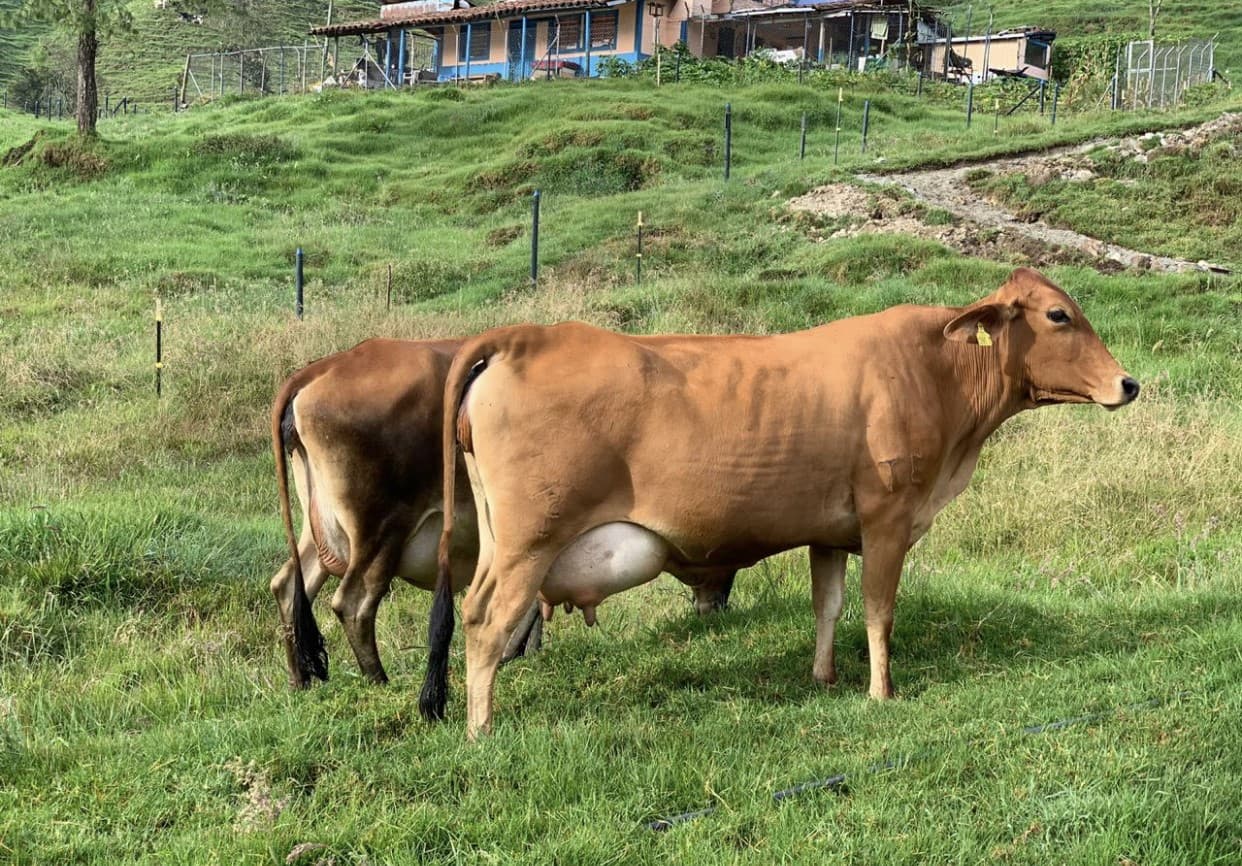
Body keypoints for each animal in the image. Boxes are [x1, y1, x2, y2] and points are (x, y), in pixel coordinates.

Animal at [270, 339, 735, 691]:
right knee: (353, 602)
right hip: (379, 529)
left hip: (323, 532)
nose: (719, 607)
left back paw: (300, 680)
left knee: (290, 584)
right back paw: (378, 678)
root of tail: (318, 371)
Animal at [418, 268, 1140, 738]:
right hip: (528, 541)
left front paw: (824, 677)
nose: (1128, 384)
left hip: (500, 537)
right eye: (1058, 315)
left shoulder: (831, 531)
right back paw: (481, 729)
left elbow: (830, 605)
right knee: (485, 620)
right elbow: (879, 610)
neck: (938, 374)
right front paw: (881, 692)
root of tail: (523, 335)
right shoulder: (888, 518)